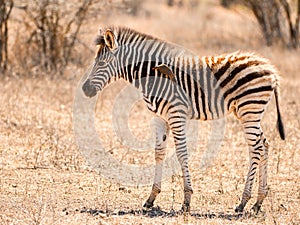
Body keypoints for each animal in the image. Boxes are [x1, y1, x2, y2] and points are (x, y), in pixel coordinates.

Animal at [82, 25, 286, 213]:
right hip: (249, 112)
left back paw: (243, 202)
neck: (154, 76)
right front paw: (151, 199)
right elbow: (159, 152)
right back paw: (258, 202)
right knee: (265, 144)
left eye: (101, 63)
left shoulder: (176, 115)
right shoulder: (159, 117)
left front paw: (186, 201)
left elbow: (181, 153)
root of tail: (271, 71)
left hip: (249, 109)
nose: (85, 89)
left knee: (256, 148)